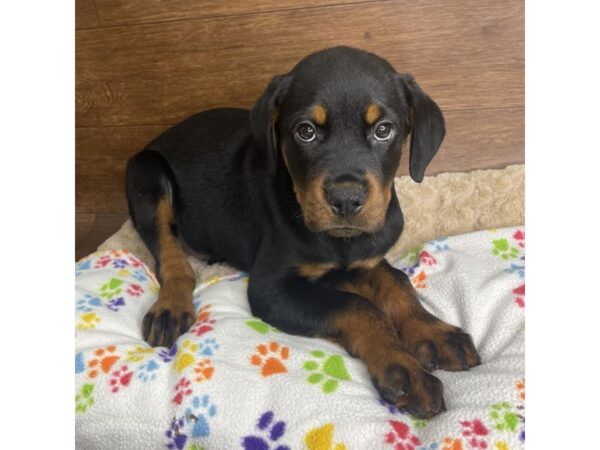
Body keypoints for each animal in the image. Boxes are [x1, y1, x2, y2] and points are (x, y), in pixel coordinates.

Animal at [125, 45, 478, 418]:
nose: (346, 199)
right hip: (145, 172)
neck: (339, 242)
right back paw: (171, 307)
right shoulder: (272, 290)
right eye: (305, 131)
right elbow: (357, 307)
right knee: (171, 256)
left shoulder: (362, 259)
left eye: (384, 130)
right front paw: (404, 370)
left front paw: (436, 332)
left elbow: (397, 284)